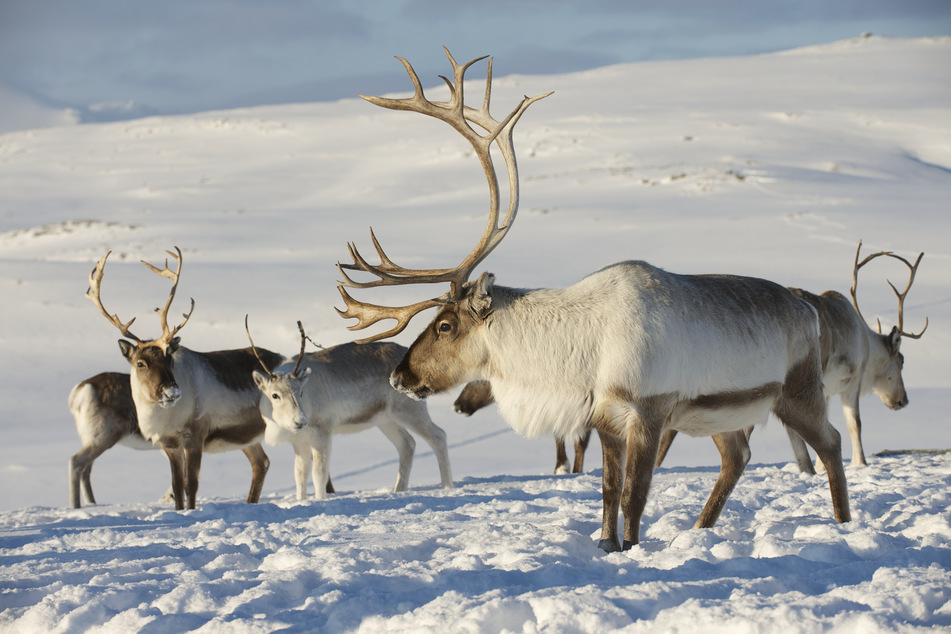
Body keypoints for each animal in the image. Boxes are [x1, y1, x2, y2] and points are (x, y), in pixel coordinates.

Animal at [86, 247, 283, 510]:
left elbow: (192, 484)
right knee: (261, 463)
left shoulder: (195, 436)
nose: (172, 392)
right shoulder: (169, 444)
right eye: (140, 363)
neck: (163, 415)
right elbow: (177, 485)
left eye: (169, 357)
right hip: (248, 438)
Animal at [249, 320, 453, 500]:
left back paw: (447, 487)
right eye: (274, 395)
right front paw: (301, 501)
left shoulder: (322, 434)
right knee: (407, 444)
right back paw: (398, 490)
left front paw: (320, 500)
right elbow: (299, 476)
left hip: (409, 411)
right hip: (385, 420)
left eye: (300, 391)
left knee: (438, 436)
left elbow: (318, 475)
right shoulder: (299, 442)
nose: (300, 421)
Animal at [654, 241, 928, 473]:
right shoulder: (851, 381)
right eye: (901, 361)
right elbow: (855, 424)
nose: (903, 400)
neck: (866, 344)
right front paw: (859, 464)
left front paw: (818, 466)